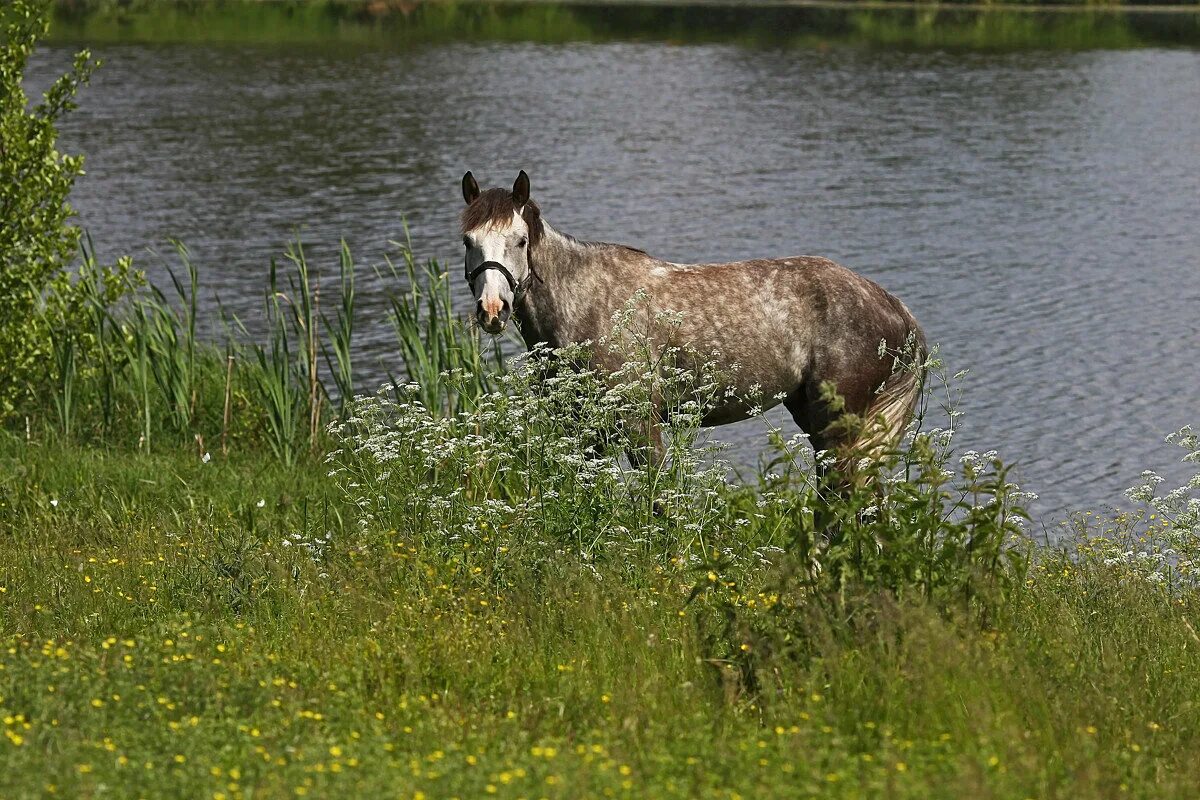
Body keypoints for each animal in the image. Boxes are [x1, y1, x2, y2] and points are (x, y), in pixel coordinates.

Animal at [458, 169, 926, 474]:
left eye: (520, 241)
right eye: (468, 241)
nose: (492, 310)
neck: (586, 301)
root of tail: (893, 306)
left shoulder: (640, 423)